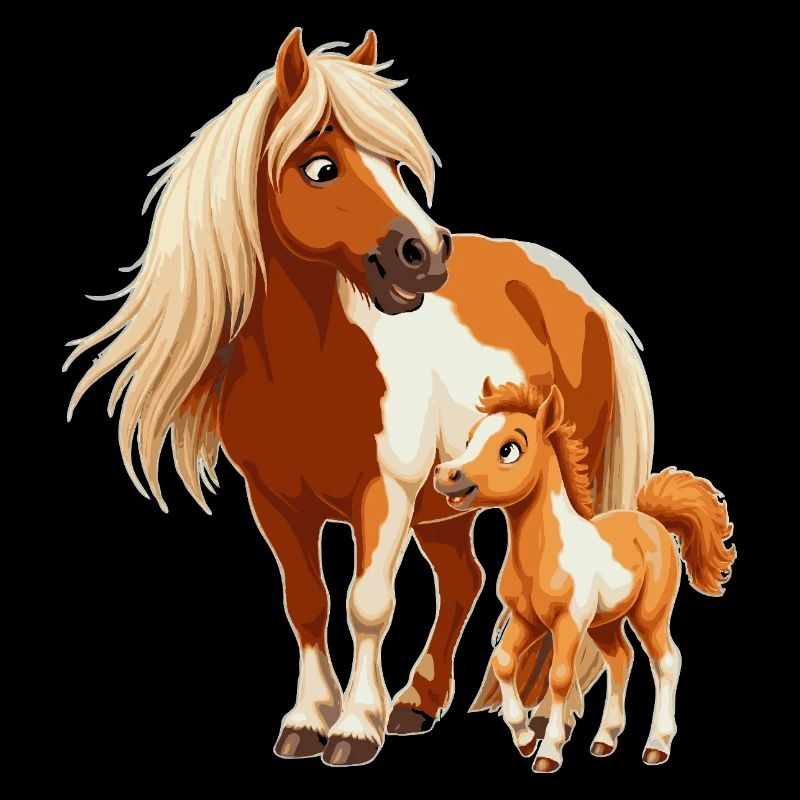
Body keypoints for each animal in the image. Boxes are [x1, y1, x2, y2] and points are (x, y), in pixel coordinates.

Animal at [63, 29, 654, 767]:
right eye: (320, 167)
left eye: (398, 166)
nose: (425, 254)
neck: (308, 370)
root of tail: (581, 292)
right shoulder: (276, 503)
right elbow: (308, 604)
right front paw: (306, 720)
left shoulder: (386, 492)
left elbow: (367, 604)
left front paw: (352, 727)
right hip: (449, 498)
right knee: (462, 581)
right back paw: (419, 702)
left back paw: (546, 714)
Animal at [434, 379, 735, 772]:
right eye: (470, 439)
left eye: (509, 449)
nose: (445, 475)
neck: (543, 552)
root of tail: (653, 522)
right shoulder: (526, 619)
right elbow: (503, 662)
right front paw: (525, 739)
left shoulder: (569, 621)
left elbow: (560, 677)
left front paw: (548, 753)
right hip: (605, 623)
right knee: (621, 658)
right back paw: (605, 740)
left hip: (649, 614)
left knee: (667, 660)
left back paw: (657, 746)